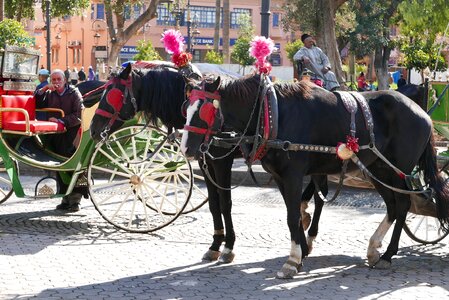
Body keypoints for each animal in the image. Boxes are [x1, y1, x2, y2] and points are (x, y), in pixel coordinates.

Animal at [179, 74, 448, 278]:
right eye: (186, 108)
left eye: (204, 109)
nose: (186, 148)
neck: (272, 112)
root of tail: (422, 113)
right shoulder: (280, 176)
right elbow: (295, 213)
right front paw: (300, 253)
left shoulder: (293, 175)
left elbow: (291, 216)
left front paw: (292, 260)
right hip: (377, 169)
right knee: (393, 205)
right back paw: (374, 249)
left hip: (397, 169)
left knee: (402, 203)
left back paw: (389, 254)